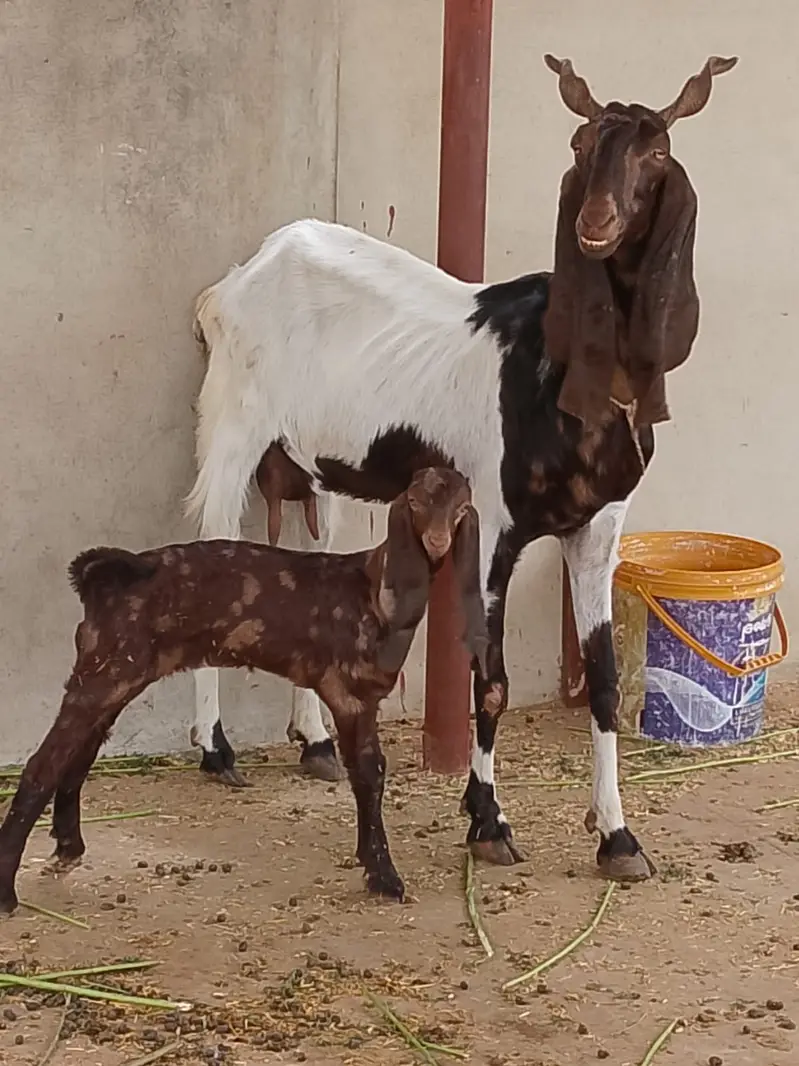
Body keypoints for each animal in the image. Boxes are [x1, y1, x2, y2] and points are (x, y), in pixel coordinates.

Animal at [0, 469, 487, 913]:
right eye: (415, 503)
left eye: (462, 509)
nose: (438, 542)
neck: (372, 588)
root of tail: (107, 577)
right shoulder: (348, 693)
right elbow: (369, 774)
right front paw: (385, 876)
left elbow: (371, 773)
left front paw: (376, 869)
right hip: (108, 668)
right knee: (44, 764)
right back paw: (7, 891)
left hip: (115, 672)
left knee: (77, 755)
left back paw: (68, 846)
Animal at [184, 54, 737, 882]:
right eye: (579, 144)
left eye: (658, 154)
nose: (595, 224)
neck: (561, 370)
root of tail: (246, 271)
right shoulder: (492, 524)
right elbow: (492, 680)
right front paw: (487, 821)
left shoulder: (599, 529)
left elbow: (606, 681)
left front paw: (617, 836)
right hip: (232, 425)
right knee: (209, 546)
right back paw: (216, 750)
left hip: (321, 466)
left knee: (307, 559)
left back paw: (315, 741)